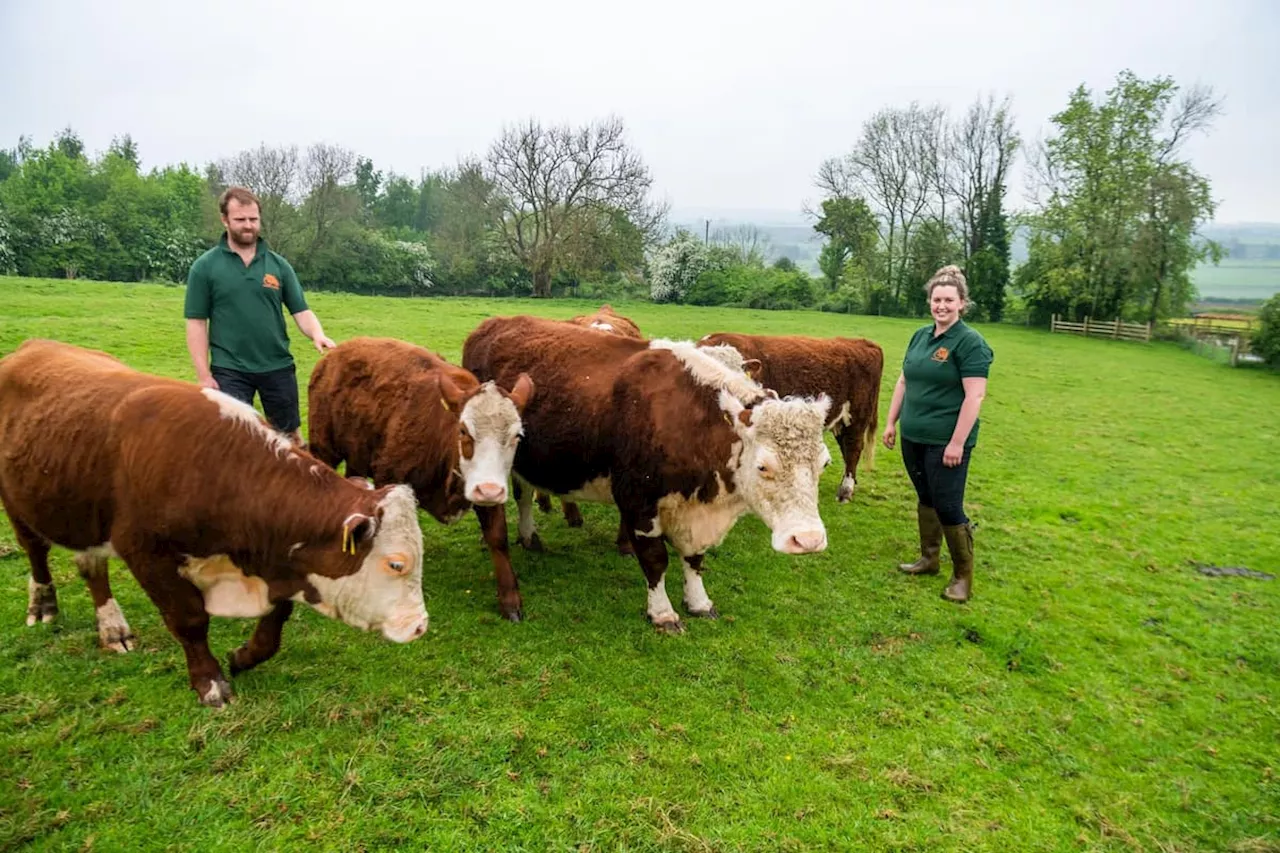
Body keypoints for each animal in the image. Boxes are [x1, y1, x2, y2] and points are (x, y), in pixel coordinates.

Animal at [0, 338, 430, 701]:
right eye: (396, 564)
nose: (420, 625)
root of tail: (31, 347)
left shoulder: (276, 560)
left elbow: (276, 620)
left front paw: (243, 657)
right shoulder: (145, 553)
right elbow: (189, 619)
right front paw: (210, 682)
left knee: (91, 568)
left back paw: (112, 628)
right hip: (19, 504)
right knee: (36, 552)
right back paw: (43, 605)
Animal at [309, 335, 535, 622]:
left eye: (517, 435)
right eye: (463, 431)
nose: (489, 491)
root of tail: (336, 353)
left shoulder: (488, 486)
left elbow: (498, 537)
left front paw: (510, 599)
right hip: (323, 447)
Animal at [465, 313, 834, 630]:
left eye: (824, 463)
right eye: (763, 465)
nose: (808, 540)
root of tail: (495, 322)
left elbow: (694, 558)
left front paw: (699, 601)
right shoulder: (638, 500)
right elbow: (656, 560)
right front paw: (662, 613)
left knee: (524, 493)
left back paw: (529, 536)